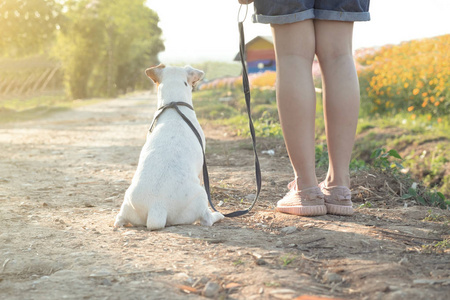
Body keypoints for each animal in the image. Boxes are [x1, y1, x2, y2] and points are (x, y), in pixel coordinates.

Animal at [114, 65, 223, 230]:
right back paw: (217, 215)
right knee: (206, 219)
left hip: (127, 204)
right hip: (200, 196)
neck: (174, 104)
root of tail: (157, 206)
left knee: (119, 219)